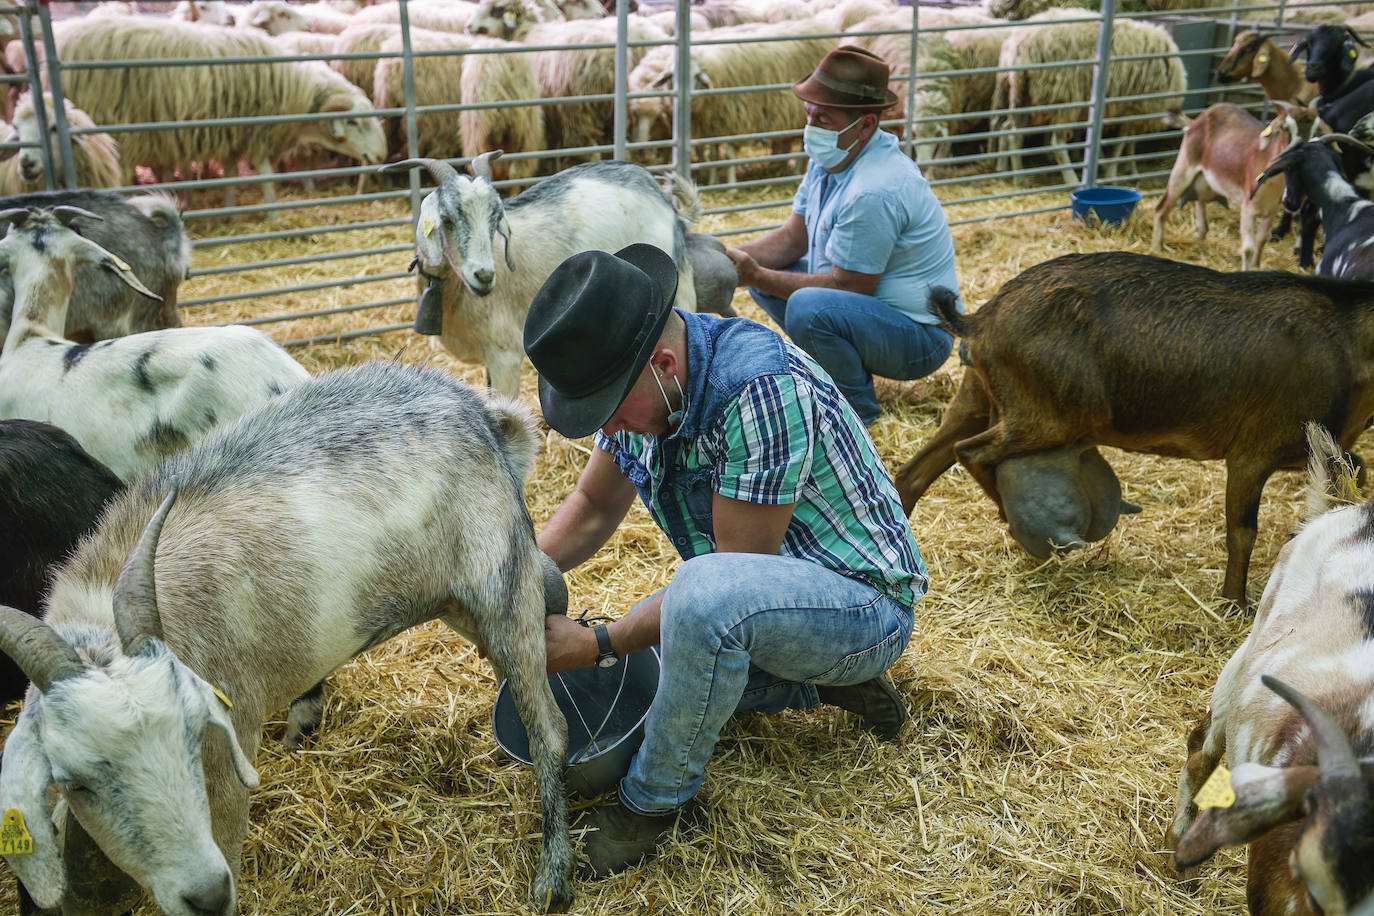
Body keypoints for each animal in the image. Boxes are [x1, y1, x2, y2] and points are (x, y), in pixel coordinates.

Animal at [895, 254, 1374, 604]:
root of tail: (982, 316)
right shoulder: (1253, 452)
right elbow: (1242, 532)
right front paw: (1234, 604)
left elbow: (1355, 469)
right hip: (1045, 416)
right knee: (971, 451)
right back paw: (1009, 520)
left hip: (977, 395)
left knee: (917, 468)